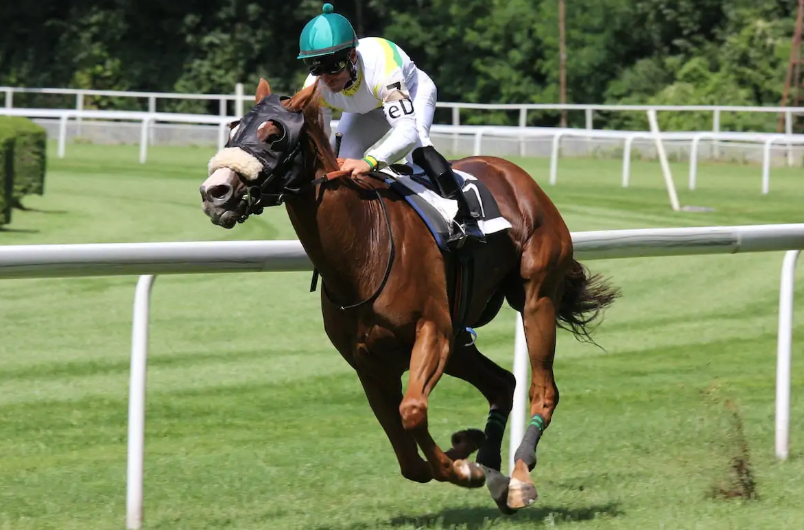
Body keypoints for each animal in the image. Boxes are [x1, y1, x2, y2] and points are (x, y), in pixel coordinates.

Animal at [198, 78, 620, 513]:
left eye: (274, 135)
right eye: (233, 129)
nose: (215, 192)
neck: (363, 247)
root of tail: (516, 174)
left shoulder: (432, 332)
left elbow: (413, 412)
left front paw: (465, 467)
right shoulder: (369, 363)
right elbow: (408, 457)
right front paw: (467, 452)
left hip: (535, 298)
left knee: (543, 389)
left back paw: (518, 476)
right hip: (460, 339)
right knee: (503, 383)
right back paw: (492, 467)